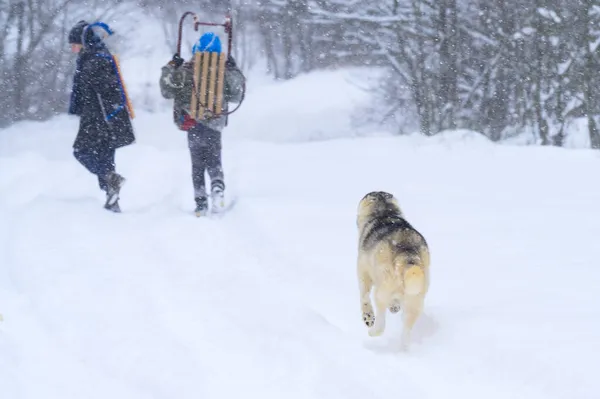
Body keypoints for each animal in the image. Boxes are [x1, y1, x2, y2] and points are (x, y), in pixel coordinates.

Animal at [354, 191, 428, 350]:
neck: (384, 212)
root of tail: (407, 251)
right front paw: (395, 306)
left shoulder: (363, 272)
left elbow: (364, 296)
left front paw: (368, 317)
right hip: (415, 298)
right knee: (406, 329)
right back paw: (403, 349)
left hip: (382, 289)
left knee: (381, 320)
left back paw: (373, 330)